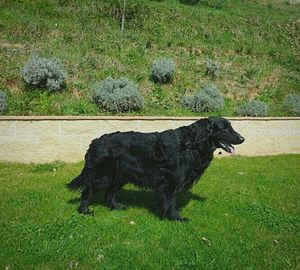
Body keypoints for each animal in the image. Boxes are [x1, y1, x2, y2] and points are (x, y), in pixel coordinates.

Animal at [67, 116, 244, 221]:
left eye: (231, 127)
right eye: (225, 128)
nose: (242, 138)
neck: (191, 144)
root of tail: (95, 141)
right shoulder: (170, 181)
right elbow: (171, 201)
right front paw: (175, 218)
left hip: (119, 176)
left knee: (109, 194)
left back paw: (116, 207)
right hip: (103, 176)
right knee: (88, 190)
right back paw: (84, 211)